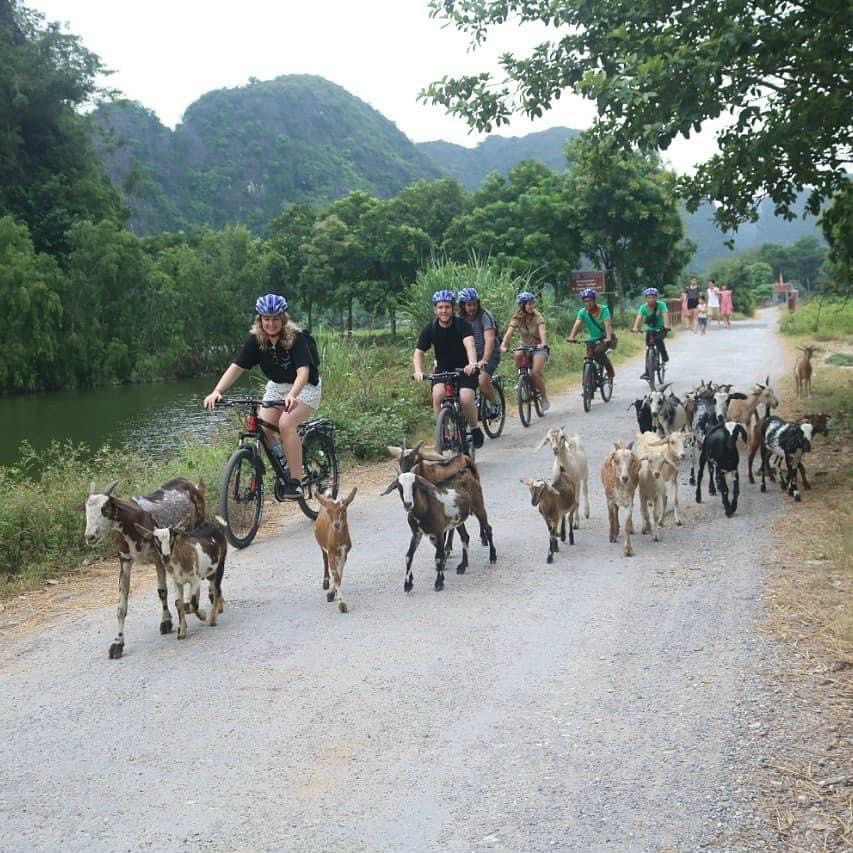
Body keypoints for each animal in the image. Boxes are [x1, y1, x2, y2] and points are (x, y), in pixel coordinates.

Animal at [135, 512, 226, 640]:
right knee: (214, 589)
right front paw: (182, 630)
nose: (166, 556)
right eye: (155, 540)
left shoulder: (195, 580)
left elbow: (191, 604)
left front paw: (203, 615)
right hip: (209, 573)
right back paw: (219, 607)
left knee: (216, 589)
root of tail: (216, 528)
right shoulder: (177, 582)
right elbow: (179, 603)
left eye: (172, 538)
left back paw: (213, 618)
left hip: (219, 567)